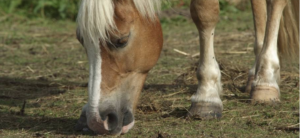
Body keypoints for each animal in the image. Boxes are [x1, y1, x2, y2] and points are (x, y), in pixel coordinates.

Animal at [74, 0, 298, 135]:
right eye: (81, 40)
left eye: (121, 40)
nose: (98, 121)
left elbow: (204, 12)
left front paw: (206, 96)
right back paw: (254, 76)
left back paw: (265, 81)